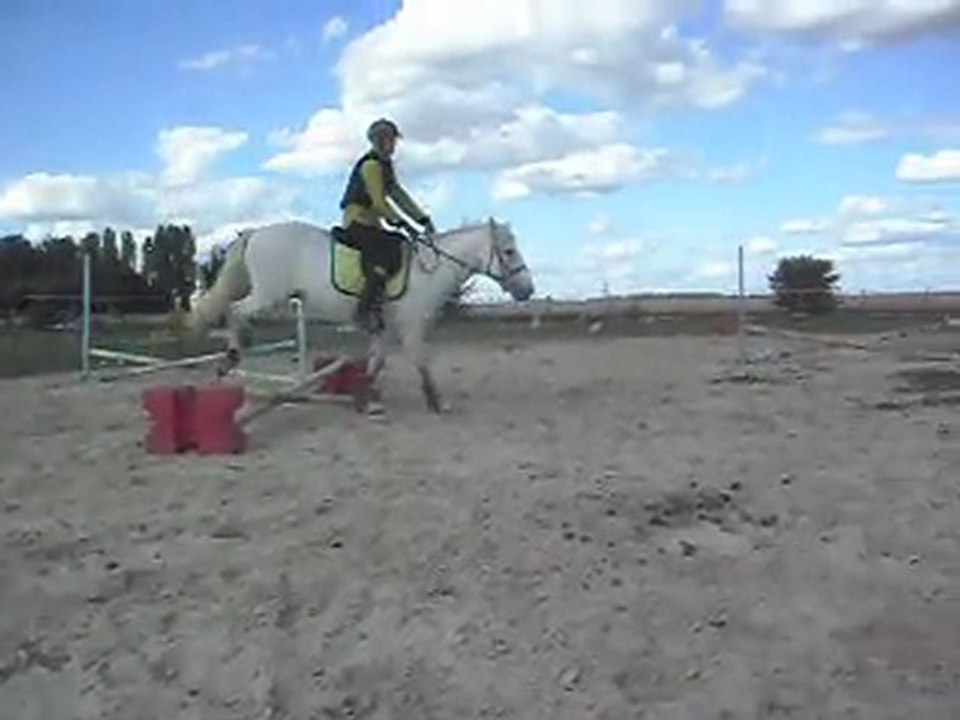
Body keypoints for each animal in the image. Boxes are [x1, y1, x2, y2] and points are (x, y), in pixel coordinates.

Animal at [176, 217, 534, 413]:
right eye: (509, 251)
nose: (528, 290)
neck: (429, 270)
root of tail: (258, 232)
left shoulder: (387, 330)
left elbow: (376, 362)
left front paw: (365, 398)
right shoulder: (410, 326)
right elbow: (421, 361)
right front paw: (438, 402)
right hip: (268, 294)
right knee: (236, 311)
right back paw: (231, 356)